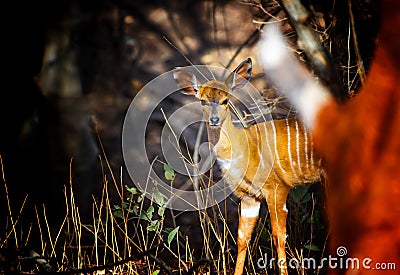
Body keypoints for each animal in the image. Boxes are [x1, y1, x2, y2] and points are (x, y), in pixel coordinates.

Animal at [173, 58, 324, 275]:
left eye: (225, 100)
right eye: (202, 100)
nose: (214, 120)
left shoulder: (277, 188)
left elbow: (278, 236)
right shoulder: (249, 197)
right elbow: (242, 238)